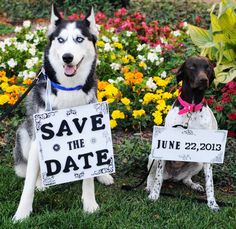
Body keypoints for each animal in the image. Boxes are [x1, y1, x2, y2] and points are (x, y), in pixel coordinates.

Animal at [12, 4, 114, 221]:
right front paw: (22, 213)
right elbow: (27, 186)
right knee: (32, 170)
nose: (68, 57)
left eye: (79, 39)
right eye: (60, 40)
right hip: (24, 135)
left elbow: (88, 176)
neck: (69, 87)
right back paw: (41, 183)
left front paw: (90, 203)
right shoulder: (37, 139)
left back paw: (103, 174)